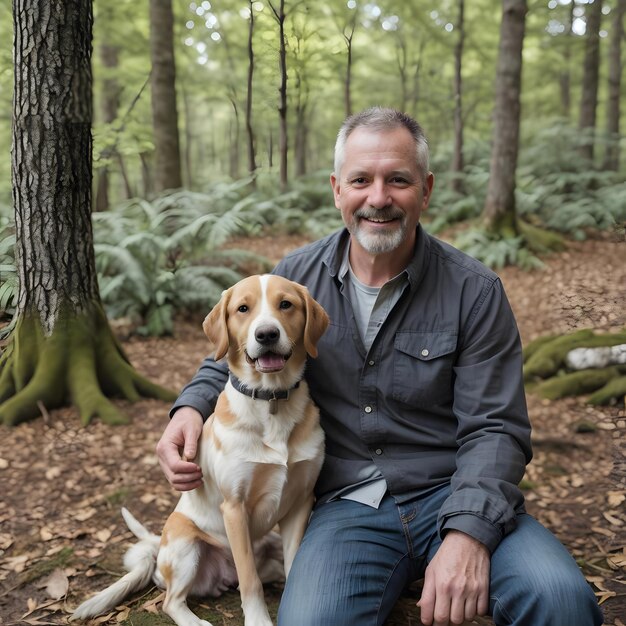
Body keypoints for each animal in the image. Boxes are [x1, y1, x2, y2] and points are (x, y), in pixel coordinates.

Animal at [70, 274, 330, 624]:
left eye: (285, 304)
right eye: (243, 309)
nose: (267, 334)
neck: (272, 402)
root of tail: (158, 548)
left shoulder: (300, 501)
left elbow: (293, 569)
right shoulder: (234, 508)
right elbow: (250, 581)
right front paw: (259, 620)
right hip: (185, 544)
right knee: (172, 601)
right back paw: (195, 620)